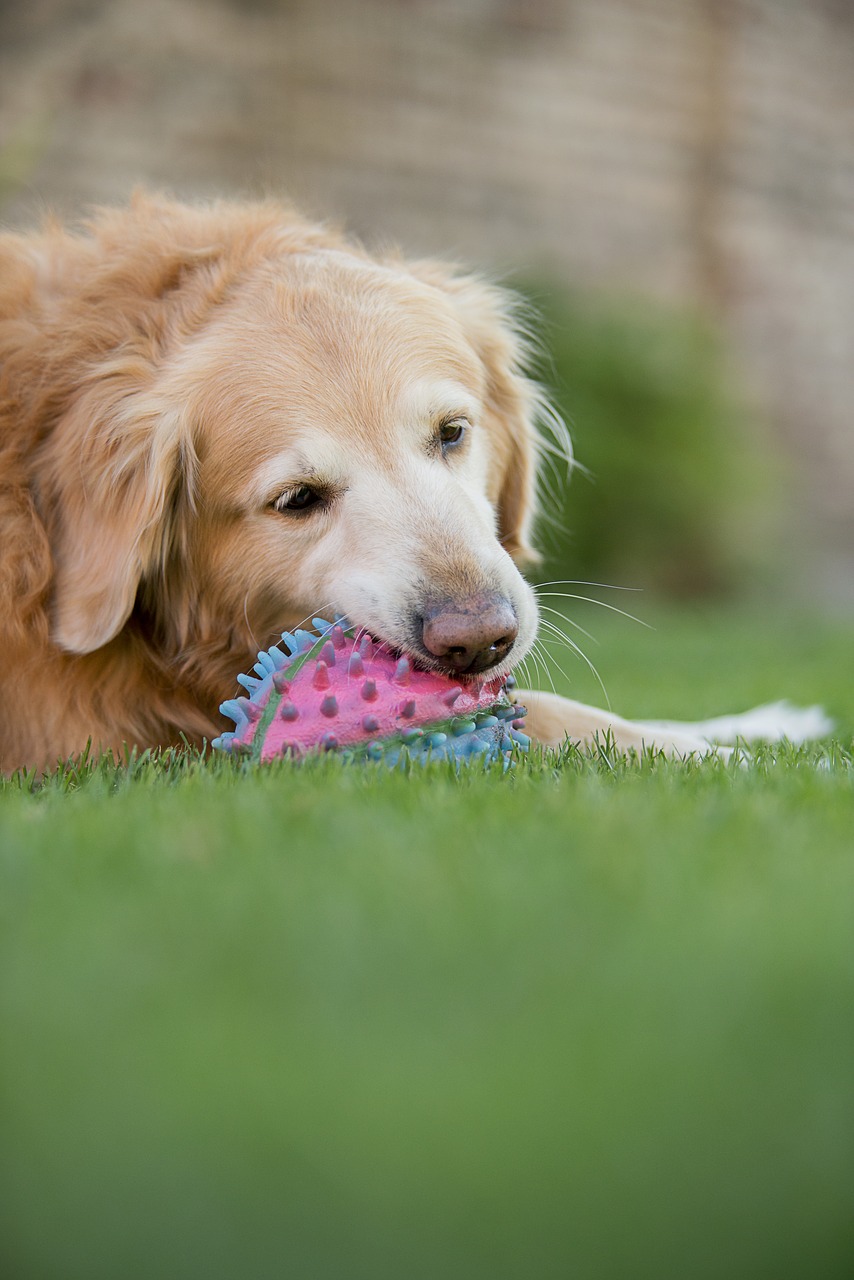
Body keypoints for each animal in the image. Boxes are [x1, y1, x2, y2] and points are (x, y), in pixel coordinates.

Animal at [0, 189, 829, 768]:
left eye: (452, 433)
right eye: (296, 500)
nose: (480, 640)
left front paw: (765, 724)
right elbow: (556, 714)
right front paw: (731, 760)